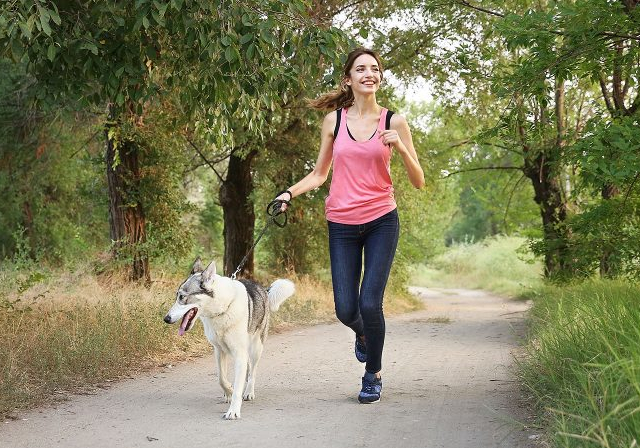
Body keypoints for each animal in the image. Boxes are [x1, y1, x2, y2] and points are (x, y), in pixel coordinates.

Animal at [164, 258, 296, 418]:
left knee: (252, 372)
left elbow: (238, 385)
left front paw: (233, 410)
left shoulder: (239, 353)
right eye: (176, 296)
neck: (221, 309)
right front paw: (228, 392)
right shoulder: (219, 350)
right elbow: (221, 378)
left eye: (182, 297)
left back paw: (249, 392)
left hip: (256, 348)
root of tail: (262, 288)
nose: (166, 319)